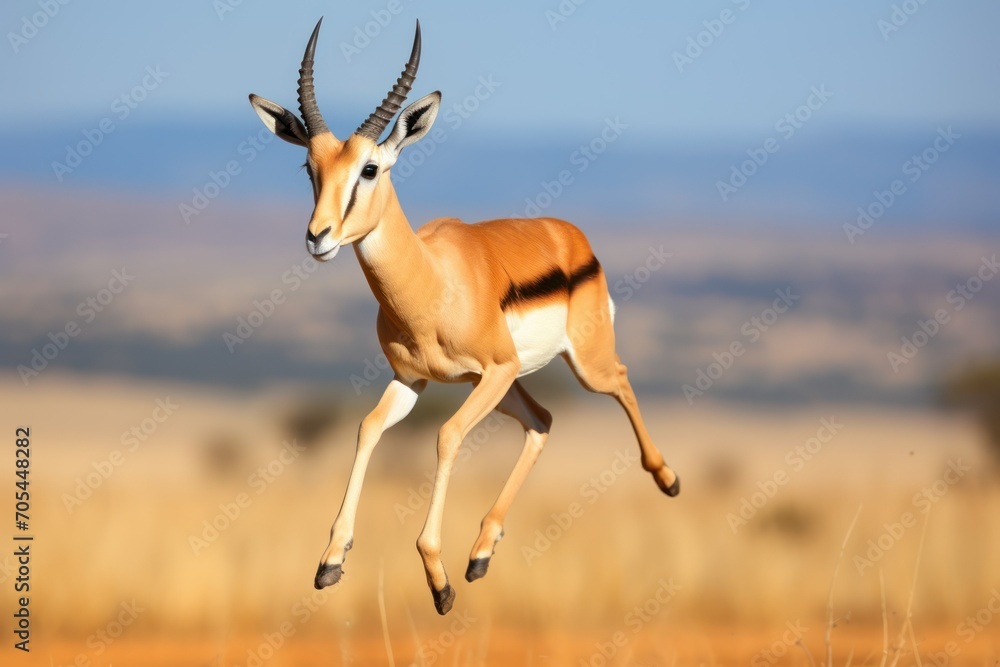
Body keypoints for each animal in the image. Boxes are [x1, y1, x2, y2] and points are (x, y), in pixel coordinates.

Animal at [248, 18, 680, 615]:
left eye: (369, 168)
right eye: (309, 167)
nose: (319, 236)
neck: (431, 284)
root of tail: (572, 236)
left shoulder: (491, 371)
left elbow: (447, 435)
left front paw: (437, 578)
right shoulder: (413, 379)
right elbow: (367, 428)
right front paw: (331, 561)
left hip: (569, 365)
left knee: (617, 379)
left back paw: (667, 479)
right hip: (500, 384)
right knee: (542, 421)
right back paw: (480, 554)